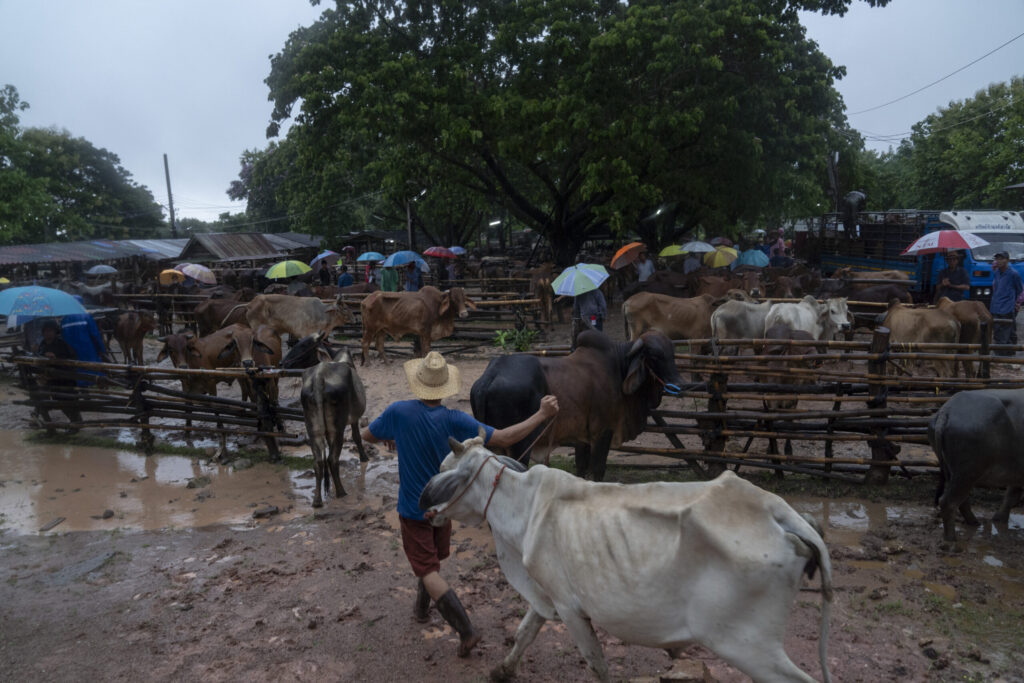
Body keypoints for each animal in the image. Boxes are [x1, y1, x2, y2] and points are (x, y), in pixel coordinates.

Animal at [417, 432, 831, 683]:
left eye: (443, 469)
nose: (424, 505)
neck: (523, 504)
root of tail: (779, 512)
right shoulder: (546, 594)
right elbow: (524, 633)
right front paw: (501, 671)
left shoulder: (569, 607)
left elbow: (596, 663)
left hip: (746, 645)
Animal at [468, 329, 679, 481]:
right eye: (655, 356)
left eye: (673, 354)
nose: (681, 383)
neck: (618, 367)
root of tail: (488, 378)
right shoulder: (603, 432)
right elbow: (598, 469)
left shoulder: (582, 436)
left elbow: (581, 467)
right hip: (520, 444)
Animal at [929, 389, 1024, 540]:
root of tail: (946, 410)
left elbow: (1011, 495)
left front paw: (999, 519)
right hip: (968, 472)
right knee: (948, 502)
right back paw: (951, 539)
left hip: (954, 472)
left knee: (961, 500)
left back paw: (974, 523)